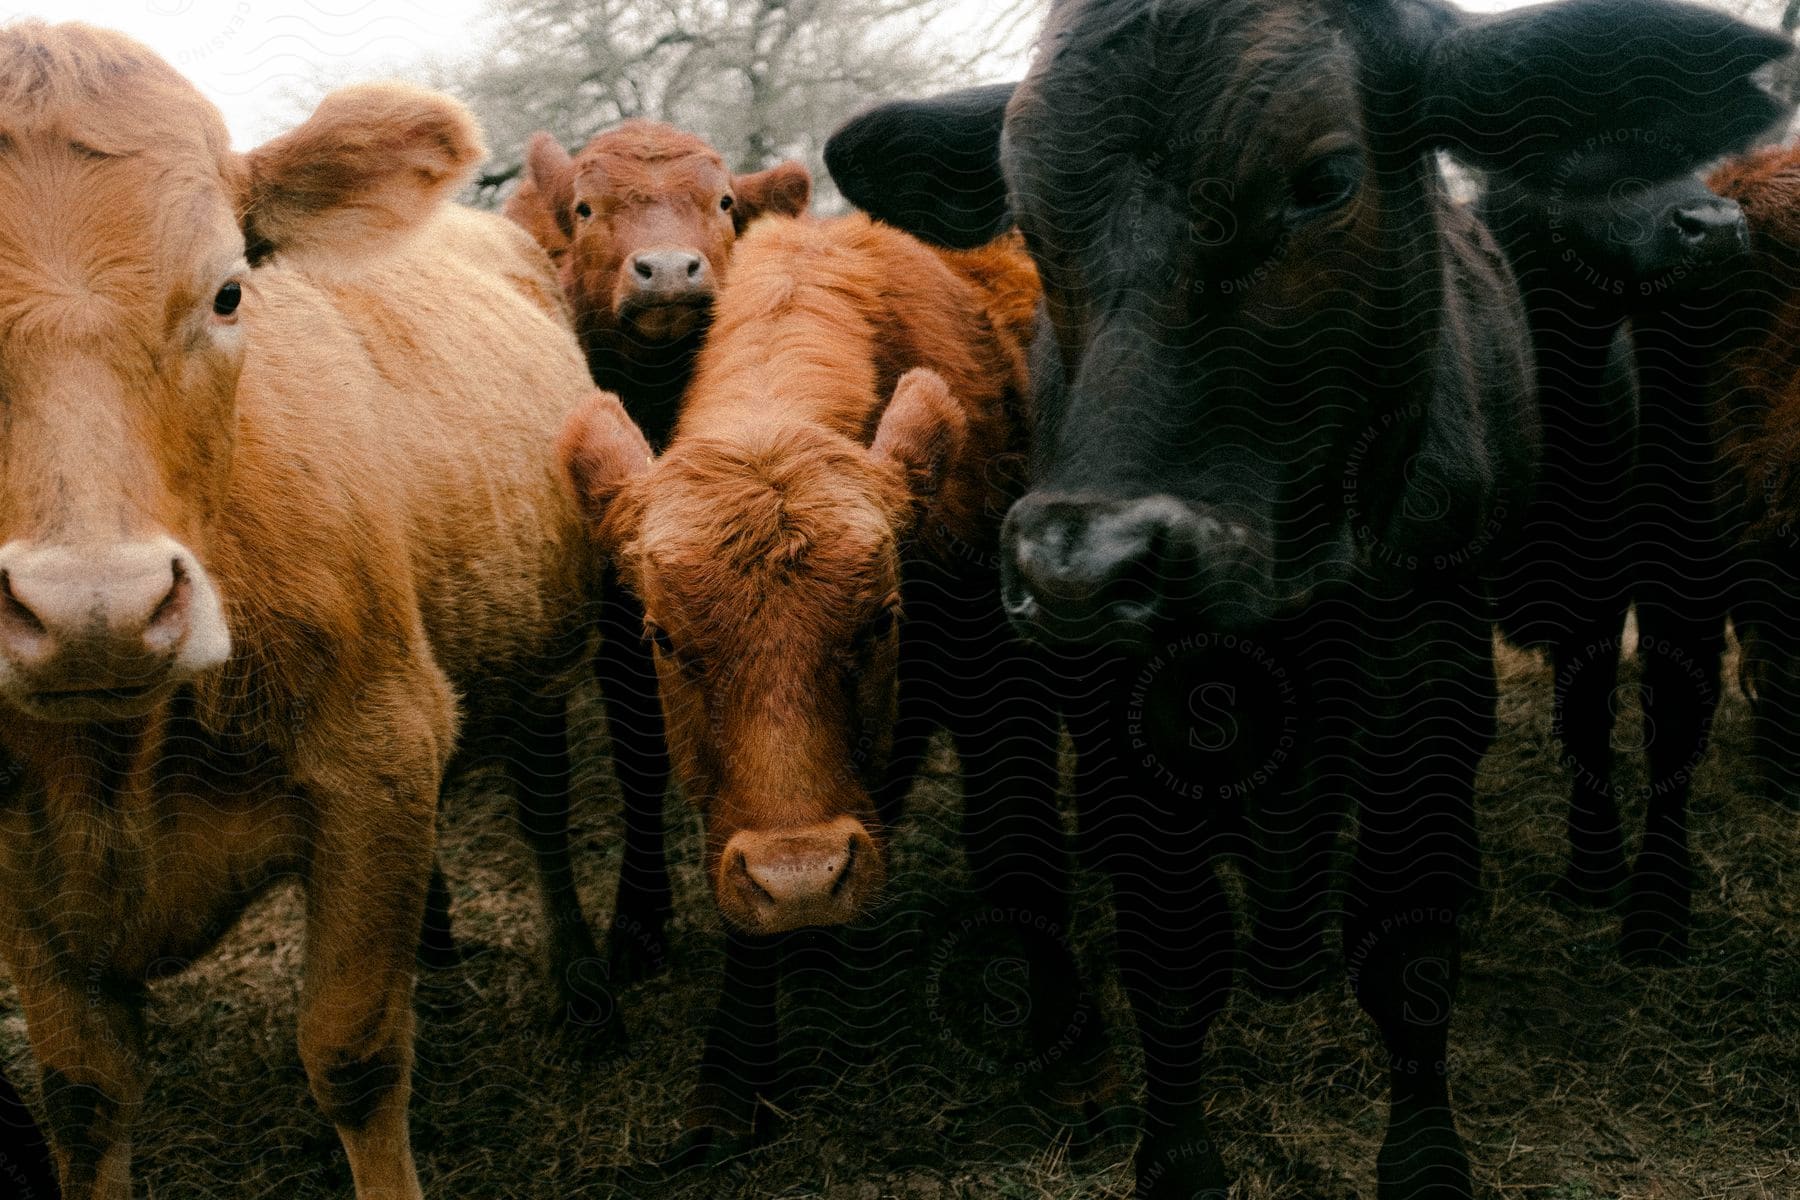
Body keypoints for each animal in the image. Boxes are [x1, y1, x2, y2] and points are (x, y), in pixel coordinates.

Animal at [0, 21, 604, 1200]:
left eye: (231, 293)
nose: (96, 610)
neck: (116, 761)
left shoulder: (376, 753)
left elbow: (354, 1056)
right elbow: (83, 1101)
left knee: (545, 818)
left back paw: (579, 984)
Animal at [554, 213, 1108, 1151]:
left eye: (881, 618)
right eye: (665, 636)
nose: (805, 879)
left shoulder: (1003, 682)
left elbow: (1019, 846)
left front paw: (1065, 1059)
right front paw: (733, 1072)